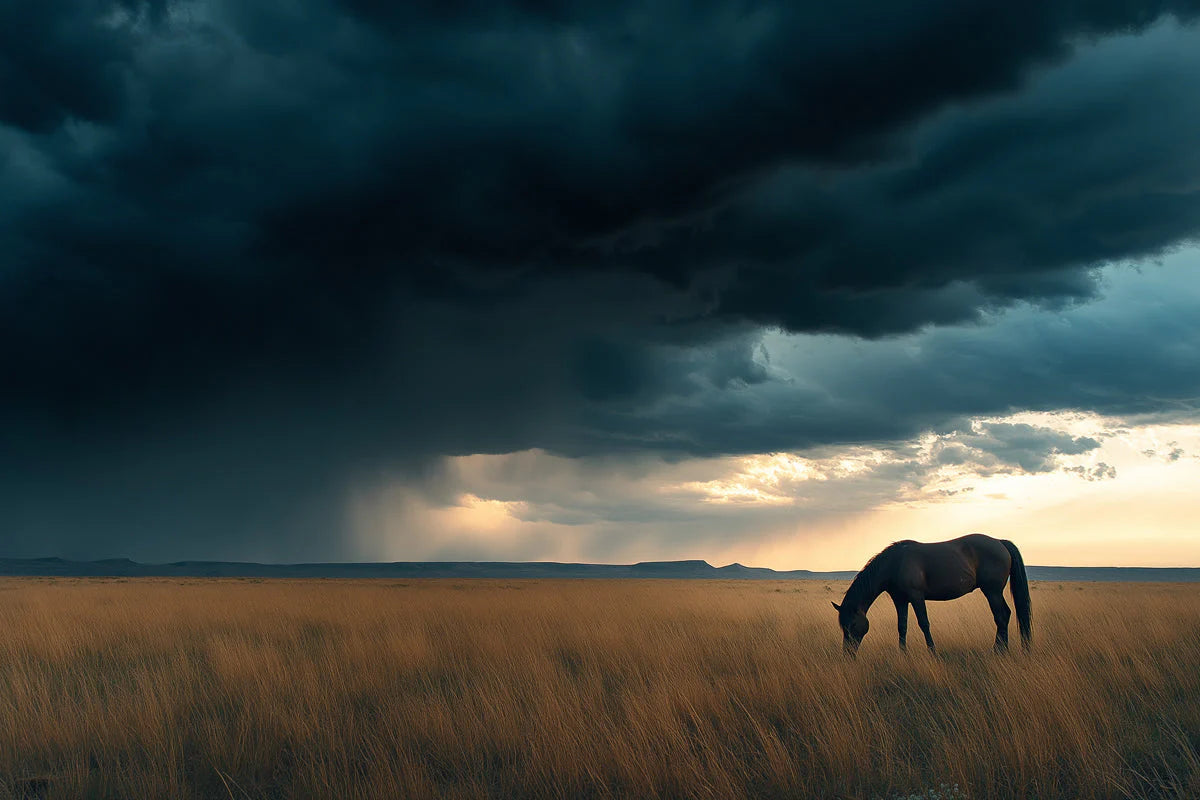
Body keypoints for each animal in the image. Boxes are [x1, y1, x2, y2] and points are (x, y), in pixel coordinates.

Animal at [833, 533, 1031, 657]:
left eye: (852, 625)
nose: (848, 654)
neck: (895, 564)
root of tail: (1000, 542)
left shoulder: (916, 597)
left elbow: (924, 624)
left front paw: (933, 652)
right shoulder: (900, 600)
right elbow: (902, 626)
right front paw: (902, 654)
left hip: (992, 591)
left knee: (1001, 616)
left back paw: (998, 651)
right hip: (994, 592)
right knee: (1005, 615)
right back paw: (1002, 649)